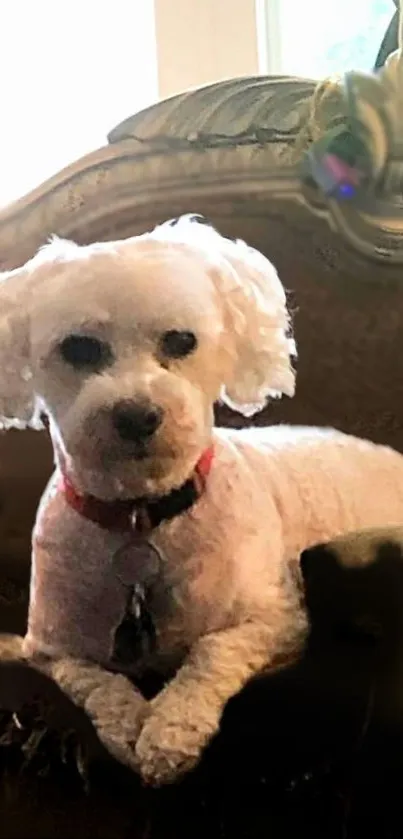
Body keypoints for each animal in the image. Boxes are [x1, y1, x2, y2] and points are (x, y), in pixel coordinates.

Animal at [1, 212, 403, 788]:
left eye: (180, 340)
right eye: (78, 348)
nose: (137, 416)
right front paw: (130, 724)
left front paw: (169, 730)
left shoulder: (278, 623)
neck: (140, 517)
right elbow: (95, 681)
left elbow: (211, 650)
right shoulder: (52, 649)